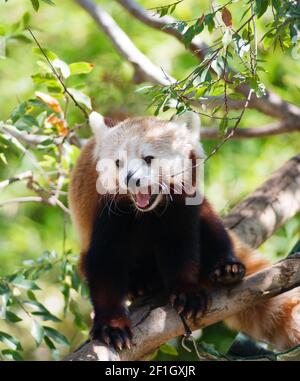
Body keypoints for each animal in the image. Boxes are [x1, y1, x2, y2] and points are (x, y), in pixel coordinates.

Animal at [69, 110, 300, 350]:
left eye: (148, 158)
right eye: (118, 163)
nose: (130, 179)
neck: (149, 211)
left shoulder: (182, 206)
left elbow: (180, 247)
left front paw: (187, 293)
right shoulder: (108, 213)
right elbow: (106, 263)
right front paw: (112, 325)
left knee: (212, 226)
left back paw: (226, 269)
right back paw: (140, 285)